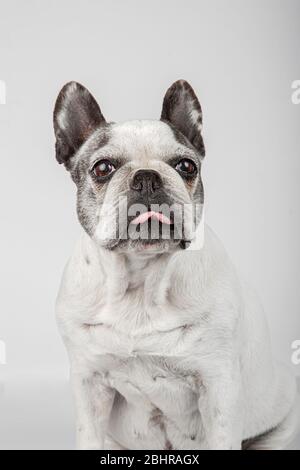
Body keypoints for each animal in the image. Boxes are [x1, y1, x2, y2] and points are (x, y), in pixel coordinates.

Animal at [53, 79, 298, 450]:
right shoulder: (89, 383)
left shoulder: (219, 387)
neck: (142, 281)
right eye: (103, 168)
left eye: (186, 166)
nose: (147, 177)